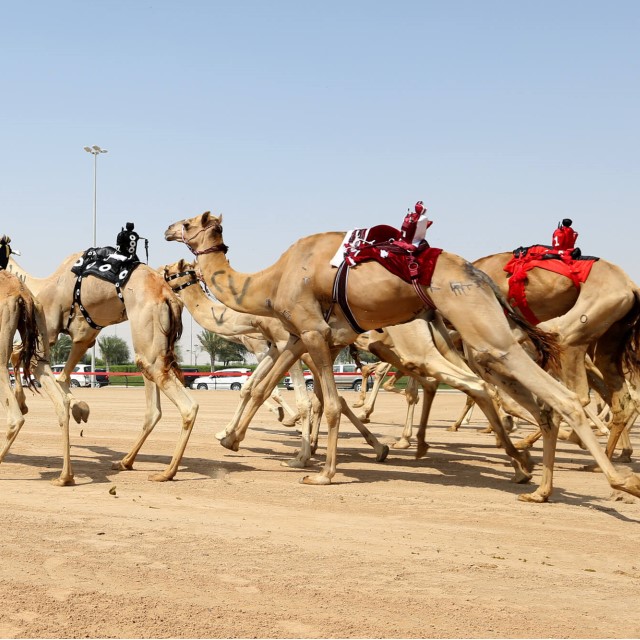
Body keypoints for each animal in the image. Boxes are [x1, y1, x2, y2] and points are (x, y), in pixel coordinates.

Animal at [7, 254, 198, 483]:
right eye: (187, 273)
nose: (196, 287)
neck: (41, 284)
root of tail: (169, 297)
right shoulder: (84, 337)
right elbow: (62, 375)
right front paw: (79, 408)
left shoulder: (50, 328)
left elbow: (19, 355)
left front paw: (23, 403)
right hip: (153, 349)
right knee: (154, 407)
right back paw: (126, 462)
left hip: (148, 342)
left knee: (186, 405)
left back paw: (166, 473)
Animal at [474, 251, 640, 462]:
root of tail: (632, 287)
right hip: (611, 335)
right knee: (620, 399)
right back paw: (603, 458)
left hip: (578, 329)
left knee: (577, 395)